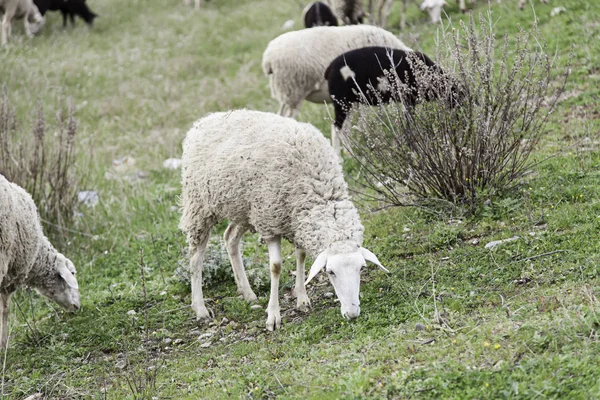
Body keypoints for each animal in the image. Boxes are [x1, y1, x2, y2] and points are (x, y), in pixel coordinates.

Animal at [0, 173, 79, 348]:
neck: (37, 256)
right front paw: (3, 344)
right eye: (72, 273)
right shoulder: (9, 277)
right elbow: (4, 310)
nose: (77, 306)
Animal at [179, 109, 390, 332]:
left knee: (230, 238)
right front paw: (273, 315)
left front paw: (302, 298)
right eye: (330, 272)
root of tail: (206, 119)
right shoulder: (270, 222)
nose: (352, 313)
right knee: (196, 255)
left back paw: (247, 293)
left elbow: (301, 256)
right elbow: (276, 267)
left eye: (362, 268)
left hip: (245, 209)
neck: (317, 187)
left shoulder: (296, 220)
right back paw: (200, 309)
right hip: (200, 205)